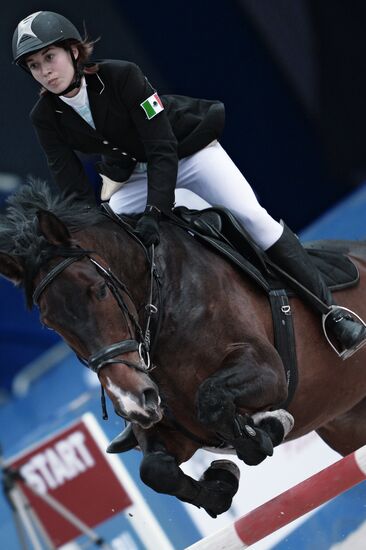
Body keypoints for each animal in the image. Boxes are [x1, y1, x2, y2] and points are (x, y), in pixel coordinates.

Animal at [0, 183, 366, 520]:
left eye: (100, 289)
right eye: (49, 324)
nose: (130, 400)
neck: (163, 308)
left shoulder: (269, 371)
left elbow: (213, 400)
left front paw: (268, 427)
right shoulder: (168, 427)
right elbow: (155, 470)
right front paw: (221, 485)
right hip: (346, 424)